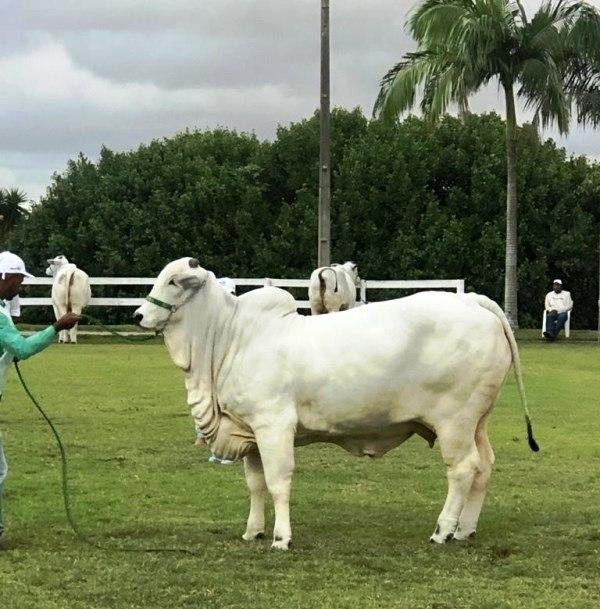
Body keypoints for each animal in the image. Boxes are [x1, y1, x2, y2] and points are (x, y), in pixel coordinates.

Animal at [134, 258, 536, 552]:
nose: (138, 315)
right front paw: (253, 531)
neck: (230, 337)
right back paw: (465, 529)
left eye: (173, 281)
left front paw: (281, 538)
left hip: (455, 421)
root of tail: (472, 301)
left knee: (463, 469)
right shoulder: (250, 432)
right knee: (484, 466)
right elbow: (256, 485)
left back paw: (443, 530)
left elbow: (278, 482)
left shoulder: (273, 425)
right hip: (477, 421)